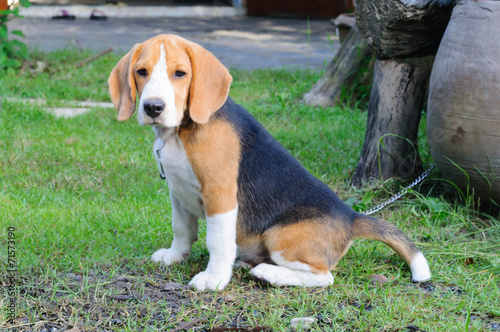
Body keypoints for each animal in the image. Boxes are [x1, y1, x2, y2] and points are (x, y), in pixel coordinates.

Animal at [108, 34, 430, 290]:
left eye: (179, 74)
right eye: (141, 72)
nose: (153, 107)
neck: (178, 133)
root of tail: (351, 217)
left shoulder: (220, 194)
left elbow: (217, 241)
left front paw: (214, 278)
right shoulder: (177, 190)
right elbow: (181, 228)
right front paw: (175, 256)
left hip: (280, 237)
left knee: (324, 277)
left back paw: (269, 273)